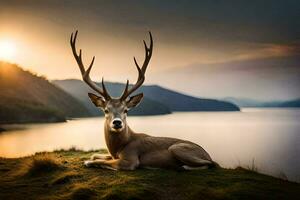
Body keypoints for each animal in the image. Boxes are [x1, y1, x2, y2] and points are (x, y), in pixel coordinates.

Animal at [69, 30, 216, 170]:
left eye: (126, 110)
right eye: (106, 110)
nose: (117, 123)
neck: (118, 148)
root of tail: (207, 153)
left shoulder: (130, 159)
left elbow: (90, 161)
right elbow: (94, 155)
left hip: (177, 148)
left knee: (211, 164)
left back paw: (182, 166)